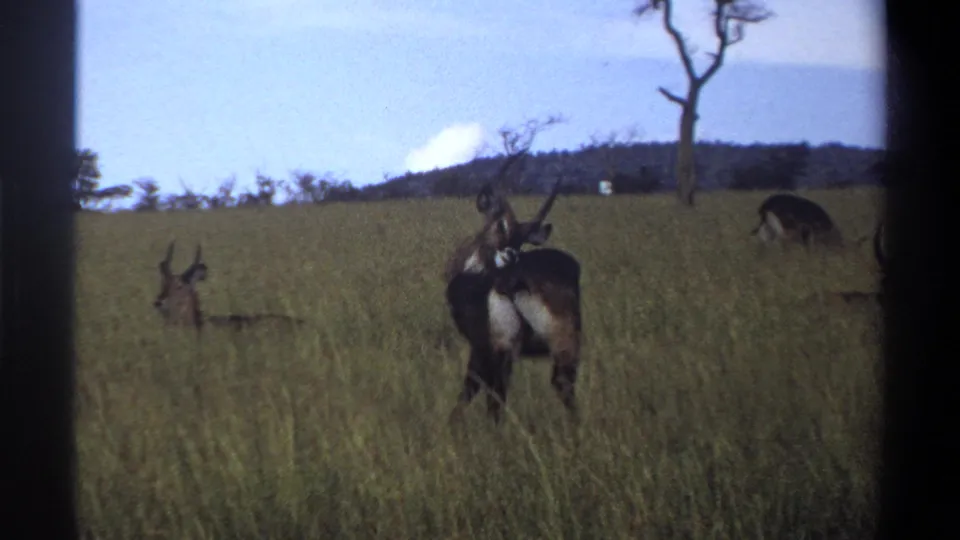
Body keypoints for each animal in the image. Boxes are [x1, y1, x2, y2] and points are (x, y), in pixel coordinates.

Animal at [444, 156, 583, 425]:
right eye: (503, 228)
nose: (510, 255)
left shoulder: (482, 347)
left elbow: (470, 391)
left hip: (502, 348)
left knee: (495, 395)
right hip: (565, 343)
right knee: (563, 383)